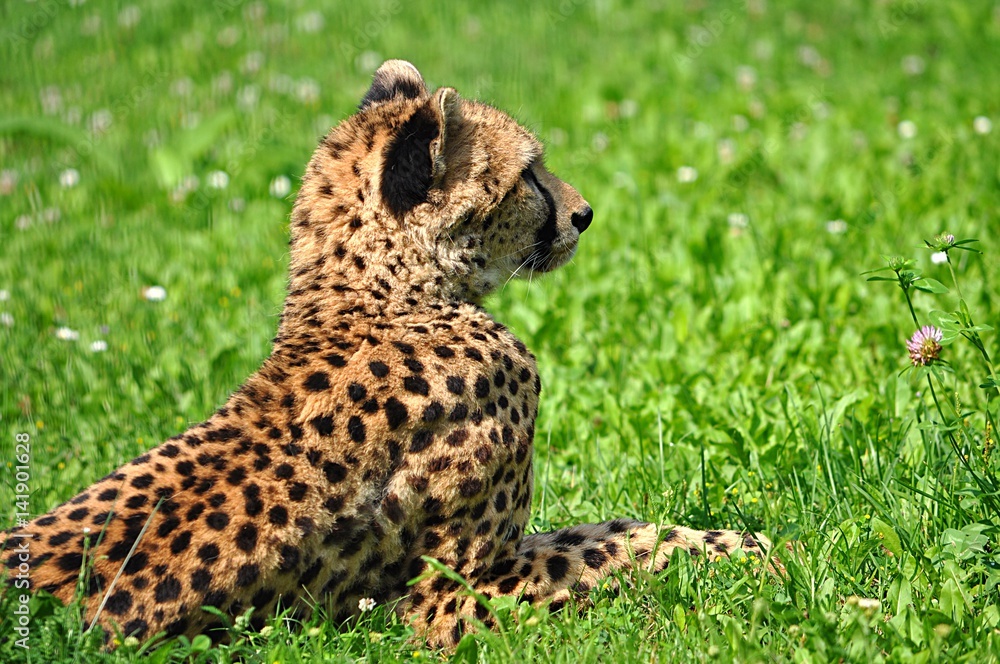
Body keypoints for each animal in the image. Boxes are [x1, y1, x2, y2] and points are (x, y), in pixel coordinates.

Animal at [2, 60, 776, 649]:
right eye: (530, 175)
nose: (584, 214)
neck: (384, 296)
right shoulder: (440, 601)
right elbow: (605, 546)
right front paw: (756, 557)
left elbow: (607, 526)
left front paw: (748, 545)